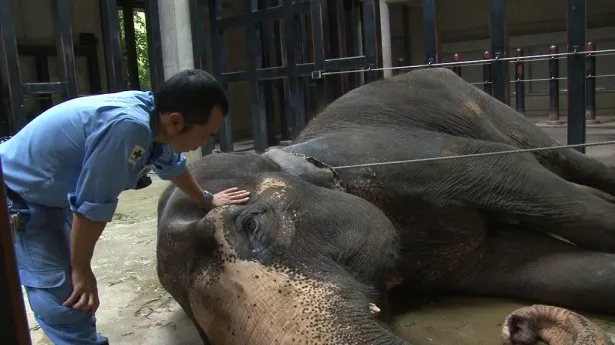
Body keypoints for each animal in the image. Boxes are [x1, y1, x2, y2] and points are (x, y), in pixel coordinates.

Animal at [155, 68, 615, 344]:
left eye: (250, 225)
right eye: (207, 334)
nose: (518, 327)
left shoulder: (416, 159)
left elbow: (541, 190)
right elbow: (541, 268)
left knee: (564, 164)